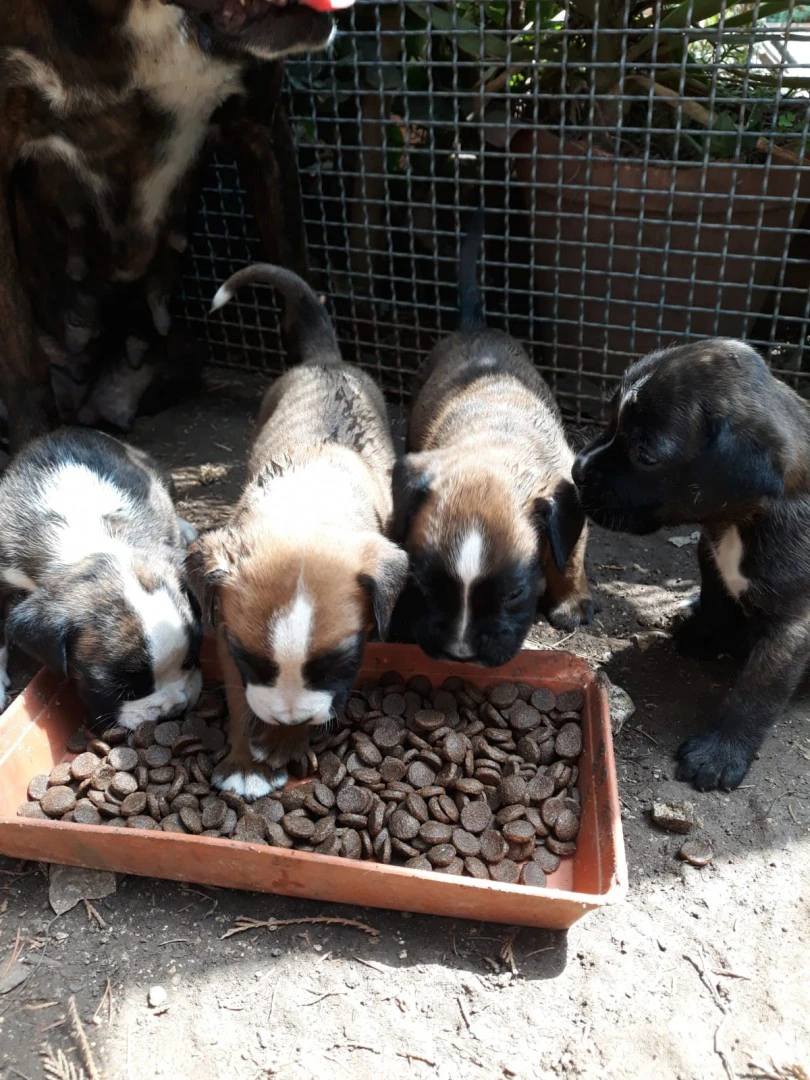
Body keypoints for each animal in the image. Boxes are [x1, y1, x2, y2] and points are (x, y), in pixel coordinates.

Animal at [186, 265, 408, 799]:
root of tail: (325, 361)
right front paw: (247, 759)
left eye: (338, 664)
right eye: (250, 661)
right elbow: (240, 699)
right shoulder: (227, 637)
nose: (287, 718)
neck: (306, 502)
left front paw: (287, 741)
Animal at [393, 210, 596, 665]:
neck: (494, 448)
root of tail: (475, 326)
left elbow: (569, 557)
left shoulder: (569, 504)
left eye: (514, 594)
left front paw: (570, 601)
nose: (460, 654)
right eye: (424, 585)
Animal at [574, 336, 810, 794]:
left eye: (645, 454)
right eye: (610, 420)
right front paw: (703, 637)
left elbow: (757, 692)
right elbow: (717, 600)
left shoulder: (792, 626)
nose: (576, 470)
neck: (738, 522)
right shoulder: (710, 556)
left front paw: (720, 754)